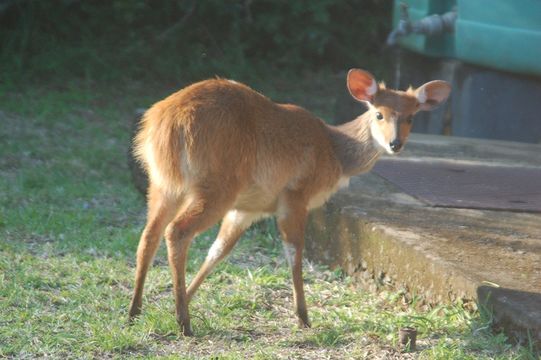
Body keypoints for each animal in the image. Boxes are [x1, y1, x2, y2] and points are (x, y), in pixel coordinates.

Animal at [129, 68, 450, 334]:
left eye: (410, 117)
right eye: (379, 114)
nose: (395, 144)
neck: (333, 150)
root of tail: (165, 124)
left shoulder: (248, 209)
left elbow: (218, 251)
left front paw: (185, 297)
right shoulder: (295, 195)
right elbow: (295, 253)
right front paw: (304, 317)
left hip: (163, 185)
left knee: (149, 235)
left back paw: (136, 311)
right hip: (216, 187)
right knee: (177, 231)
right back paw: (183, 322)